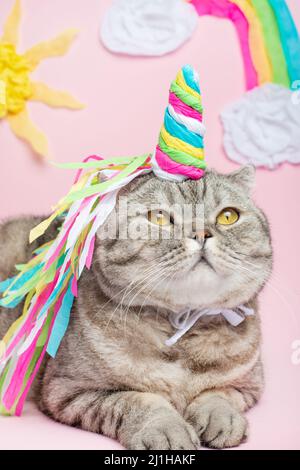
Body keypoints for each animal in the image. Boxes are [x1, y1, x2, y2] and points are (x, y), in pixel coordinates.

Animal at [0, 167, 272, 450]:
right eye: (159, 217)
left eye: (228, 216)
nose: (201, 233)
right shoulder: (67, 390)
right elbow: (136, 401)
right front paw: (167, 429)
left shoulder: (249, 385)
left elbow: (220, 395)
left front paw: (221, 417)